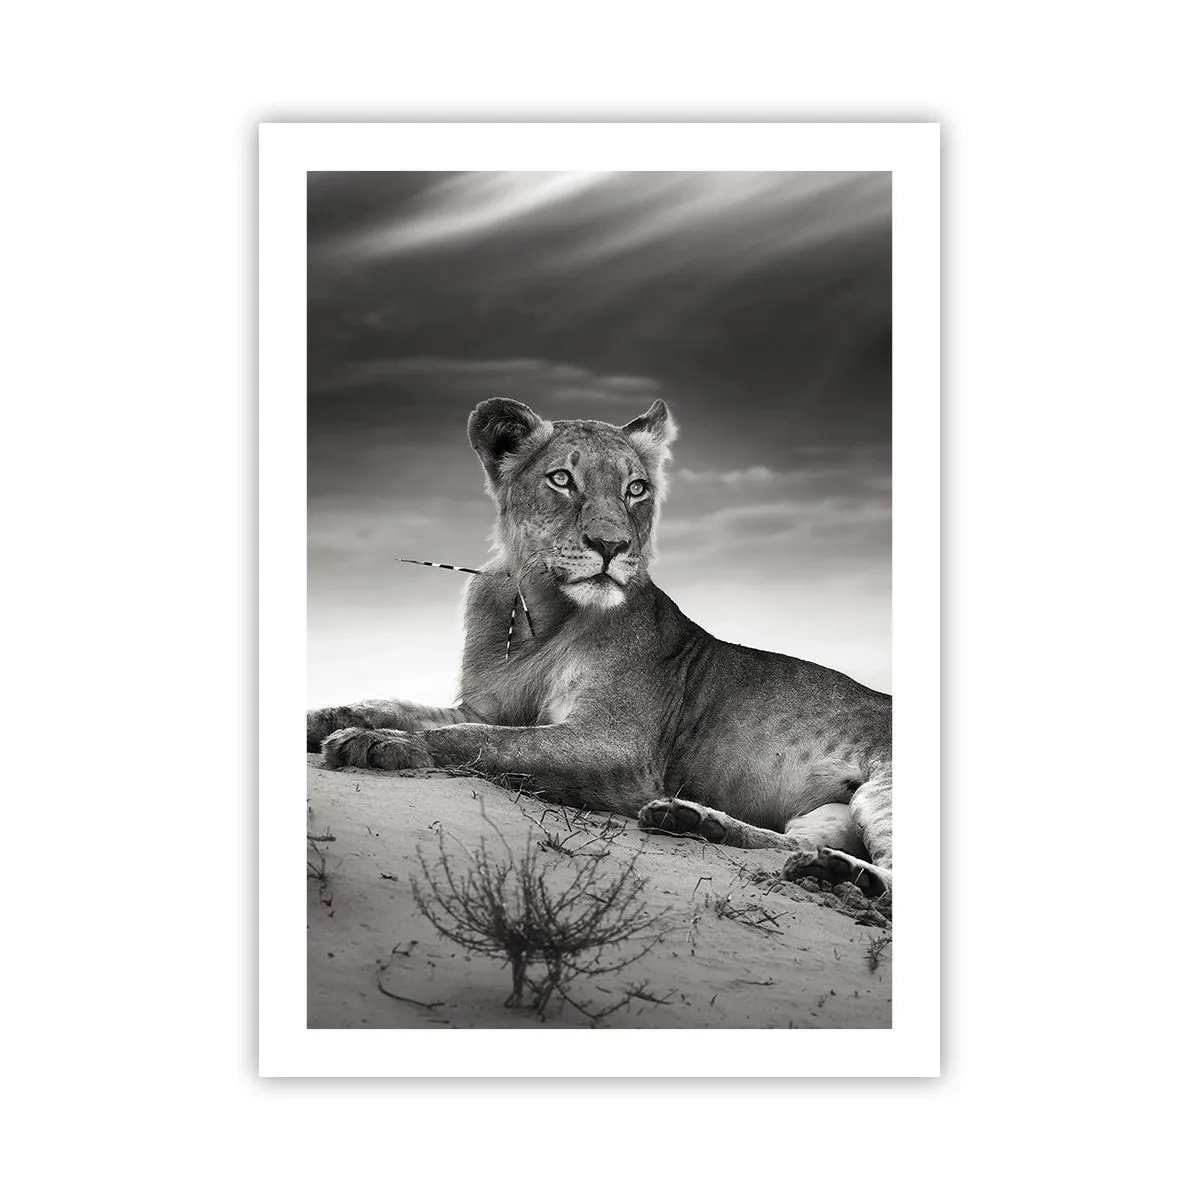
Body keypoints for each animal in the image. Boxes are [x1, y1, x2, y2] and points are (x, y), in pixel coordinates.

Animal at [307, 397, 893, 891]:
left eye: (636, 489)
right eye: (562, 480)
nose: (611, 545)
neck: (540, 612)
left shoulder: (617, 744)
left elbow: (477, 740)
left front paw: (380, 744)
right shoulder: (487, 706)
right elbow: (396, 705)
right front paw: (327, 719)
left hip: (882, 790)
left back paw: (840, 875)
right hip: (826, 813)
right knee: (789, 840)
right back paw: (694, 822)